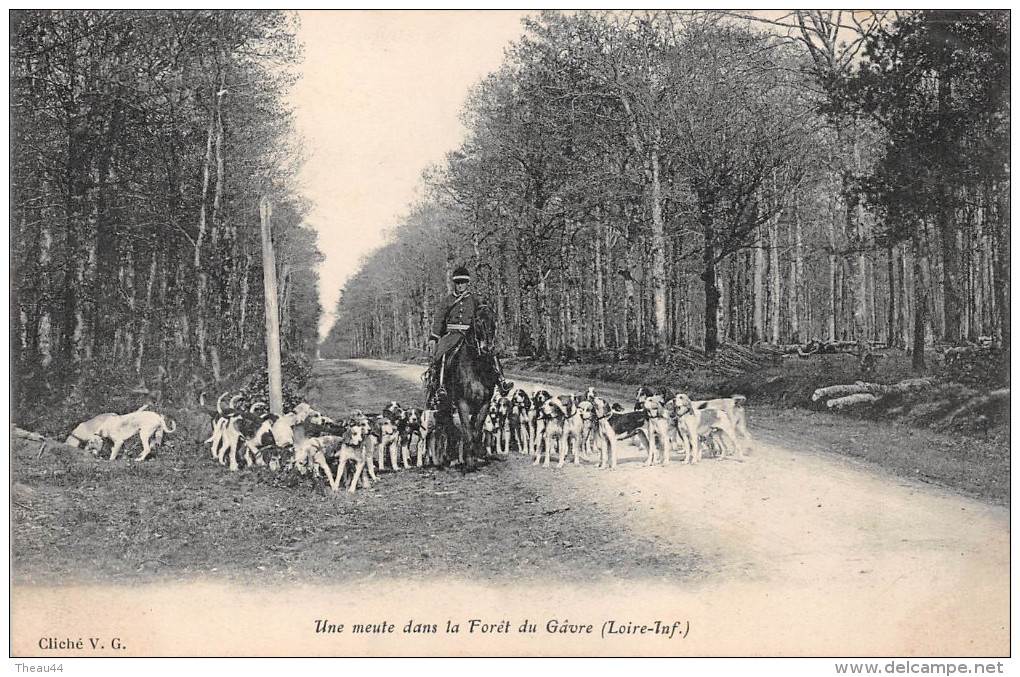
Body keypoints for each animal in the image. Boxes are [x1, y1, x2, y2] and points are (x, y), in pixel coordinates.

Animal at [434, 305, 497, 464]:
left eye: (493, 319)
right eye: (478, 321)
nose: (488, 347)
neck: (476, 365)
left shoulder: (484, 403)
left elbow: (476, 429)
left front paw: (477, 454)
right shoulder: (462, 402)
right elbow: (467, 431)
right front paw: (469, 460)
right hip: (446, 402)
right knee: (448, 424)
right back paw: (449, 454)